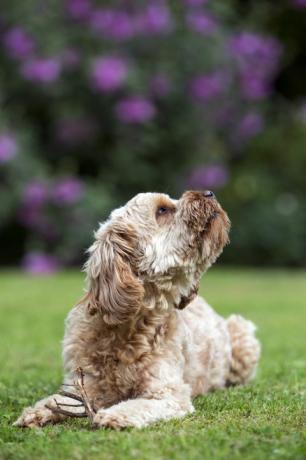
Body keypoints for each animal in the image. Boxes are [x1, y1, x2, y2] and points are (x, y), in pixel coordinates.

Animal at [13, 190, 260, 428]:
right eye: (162, 210)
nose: (209, 193)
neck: (129, 327)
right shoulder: (85, 383)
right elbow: (62, 399)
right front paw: (37, 411)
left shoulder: (168, 393)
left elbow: (139, 406)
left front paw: (113, 415)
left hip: (242, 336)